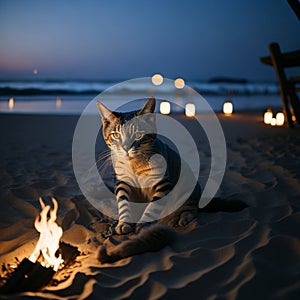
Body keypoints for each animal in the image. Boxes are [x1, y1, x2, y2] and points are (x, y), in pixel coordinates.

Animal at [96, 97, 202, 262]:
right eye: (116, 135)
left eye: (139, 135)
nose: (126, 148)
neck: (134, 163)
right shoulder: (122, 182)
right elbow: (123, 202)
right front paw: (123, 222)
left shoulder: (163, 183)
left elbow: (153, 206)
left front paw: (143, 224)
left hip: (189, 185)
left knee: (192, 208)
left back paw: (184, 217)